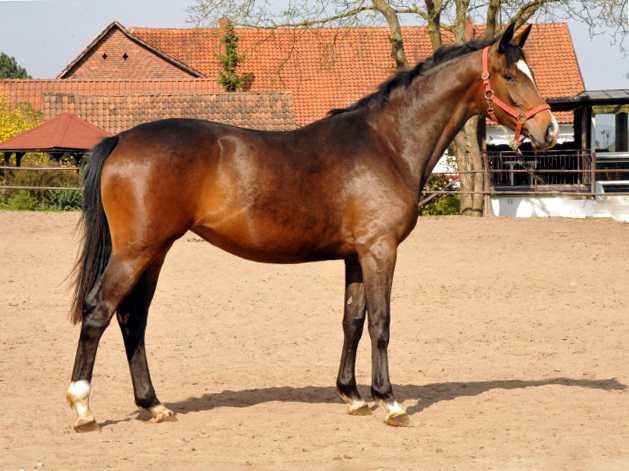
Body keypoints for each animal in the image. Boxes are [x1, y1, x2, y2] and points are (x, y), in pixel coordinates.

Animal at [67, 24, 560, 434]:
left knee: (133, 319)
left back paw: (153, 405)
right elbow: (381, 323)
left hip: (155, 252)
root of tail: (121, 139)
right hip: (136, 252)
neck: (388, 142)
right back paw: (83, 408)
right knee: (99, 311)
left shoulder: (356, 256)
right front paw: (390, 402)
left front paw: (353, 395)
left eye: (530, 71)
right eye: (510, 76)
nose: (550, 129)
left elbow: (352, 321)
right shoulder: (380, 250)